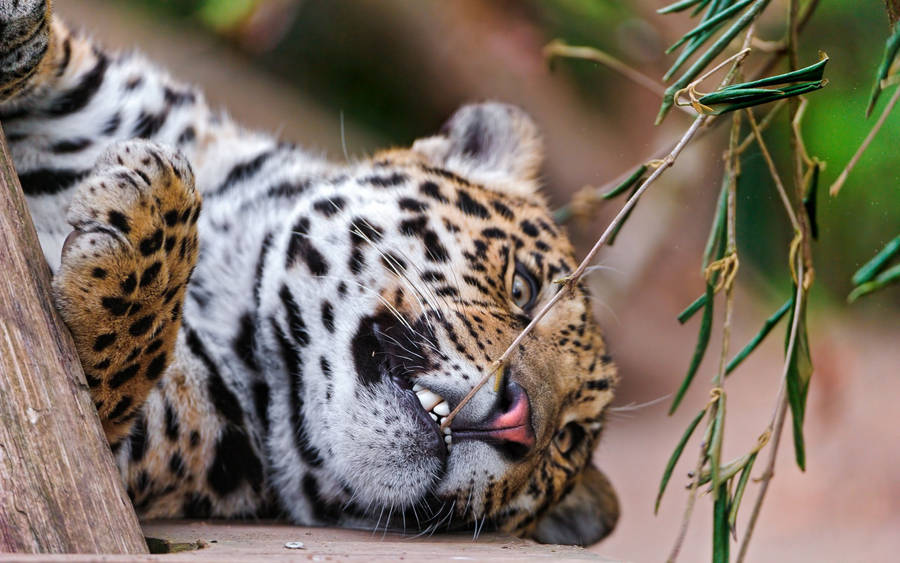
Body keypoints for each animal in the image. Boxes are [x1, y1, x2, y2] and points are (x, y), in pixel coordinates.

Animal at [0, 0, 619, 546]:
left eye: (566, 443)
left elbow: (100, 378)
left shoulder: (124, 449)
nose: (518, 423)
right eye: (523, 287)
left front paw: (153, 207)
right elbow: (58, 52)